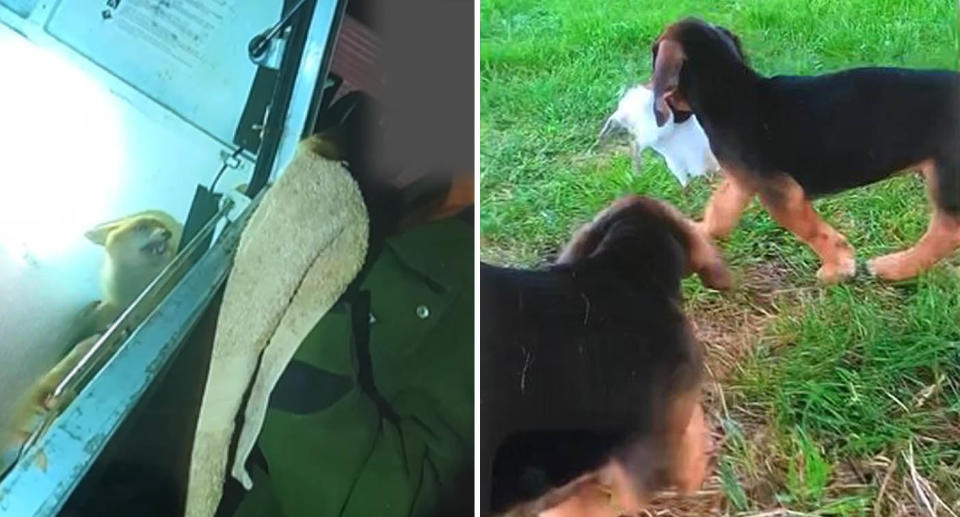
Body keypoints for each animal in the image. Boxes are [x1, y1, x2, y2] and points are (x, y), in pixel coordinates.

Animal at [648, 17, 960, 282]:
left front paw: (838, 267)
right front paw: (697, 233)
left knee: (947, 231)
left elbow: (812, 231)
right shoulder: (744, 179)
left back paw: (896, 267)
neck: (731, 90)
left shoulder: (782, 192)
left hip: (946, 175)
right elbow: (720, 210)